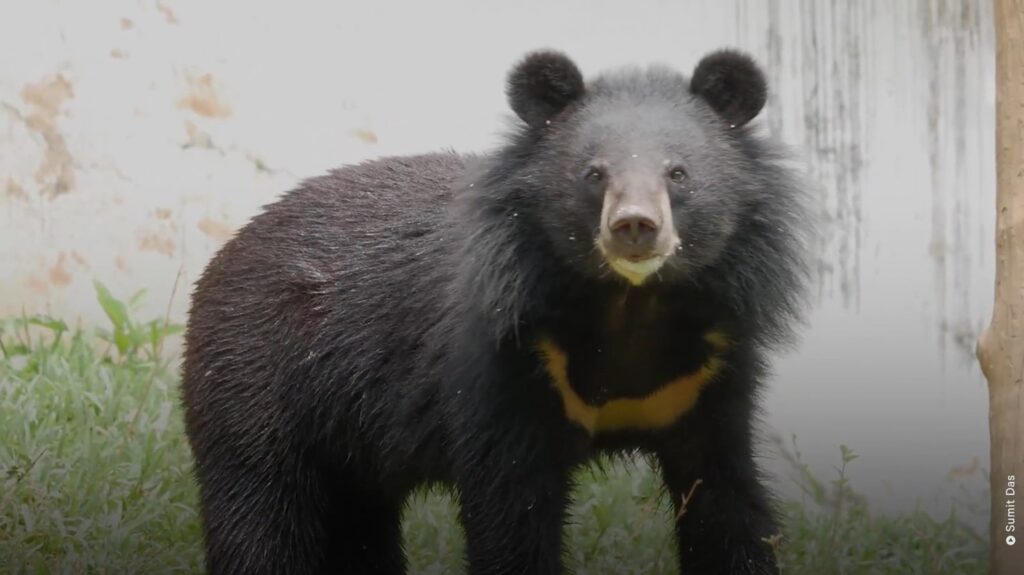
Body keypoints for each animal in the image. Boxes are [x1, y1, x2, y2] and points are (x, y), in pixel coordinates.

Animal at [182, 47, 806, 568]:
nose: (635, 227)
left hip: (346, 447)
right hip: (257, 387)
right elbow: (511, 515)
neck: (628, 303)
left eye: (679, 173)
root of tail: (226, 254)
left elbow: (726, 500)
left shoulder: (707, 376)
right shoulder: (502, 365)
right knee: (260, 514)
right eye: (594, 174)